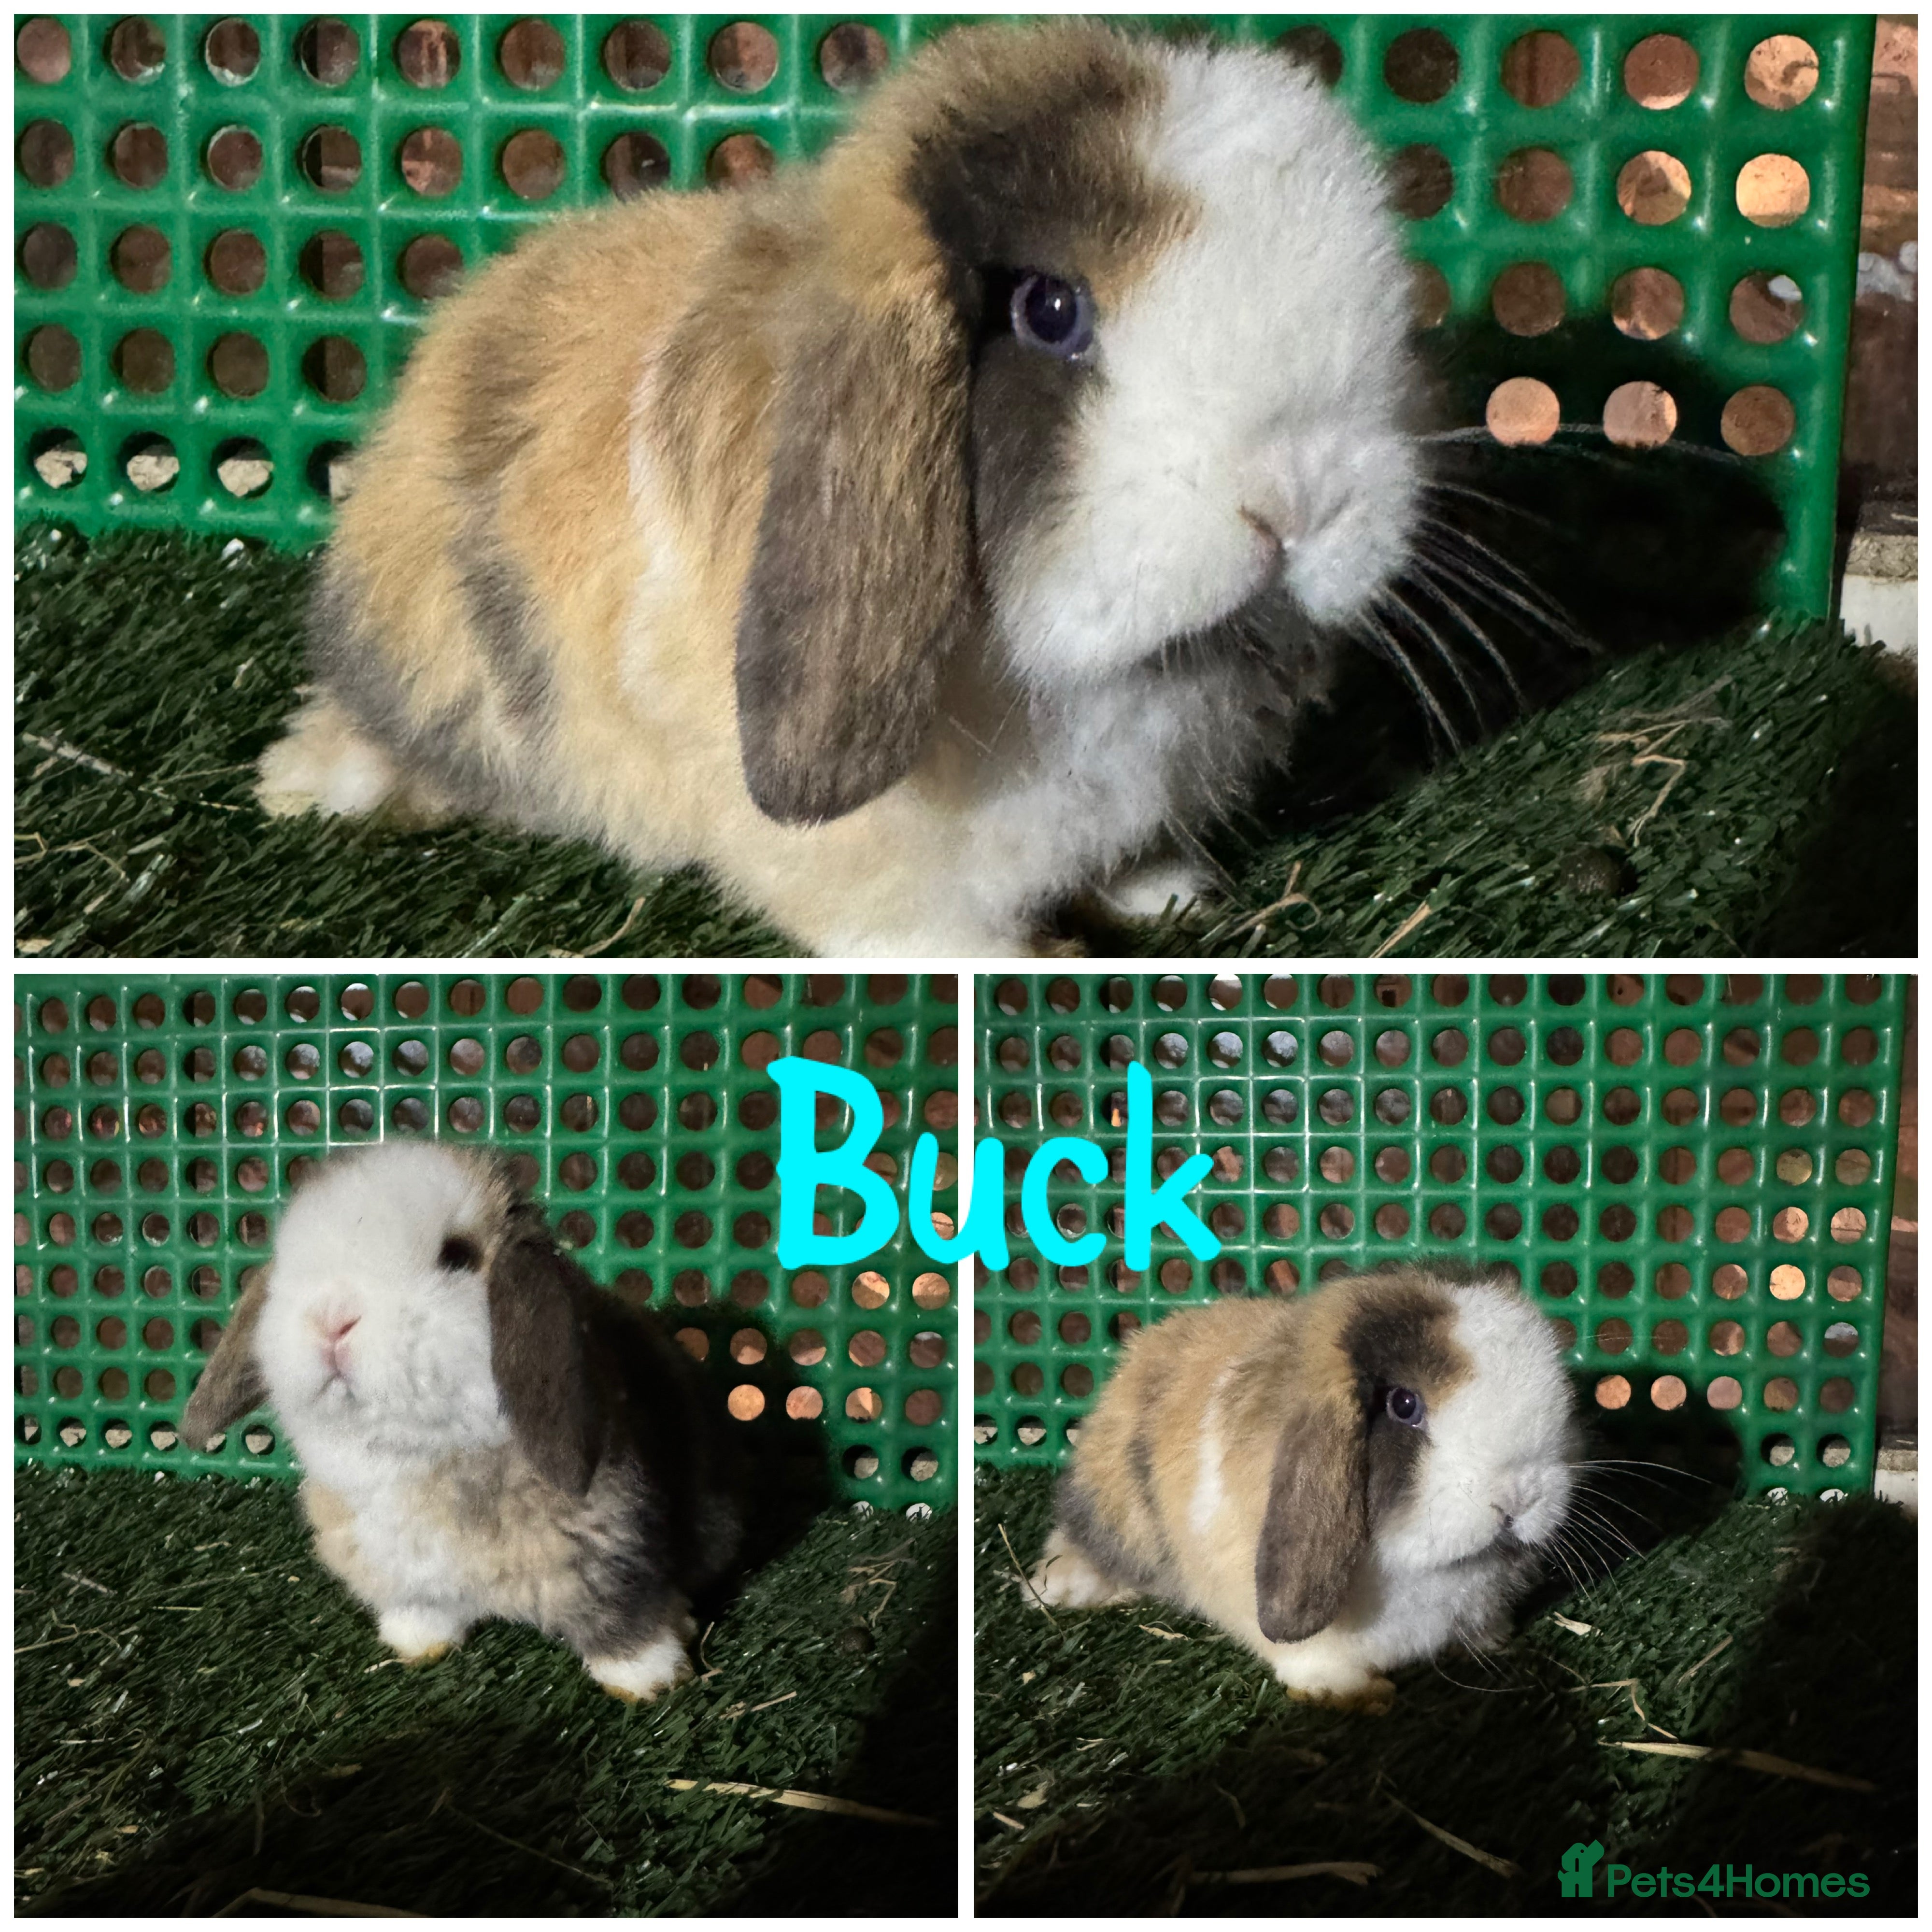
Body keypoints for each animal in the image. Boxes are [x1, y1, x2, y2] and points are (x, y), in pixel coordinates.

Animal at [181, 1140, 742, 1701]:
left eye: (457, 1256)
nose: (331, 1318)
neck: (420, 1459)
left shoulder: (613, 1558)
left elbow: (621, 1621)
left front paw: (650, 1680)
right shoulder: (409, 1580)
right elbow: (422, 1612)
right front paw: (416, 1645)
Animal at [255, 20, 1423, 956]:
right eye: (1051, 311)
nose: (1299, 501)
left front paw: (1169, 892)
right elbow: (920, 928)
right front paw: (1030, 963)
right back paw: (303, 788)